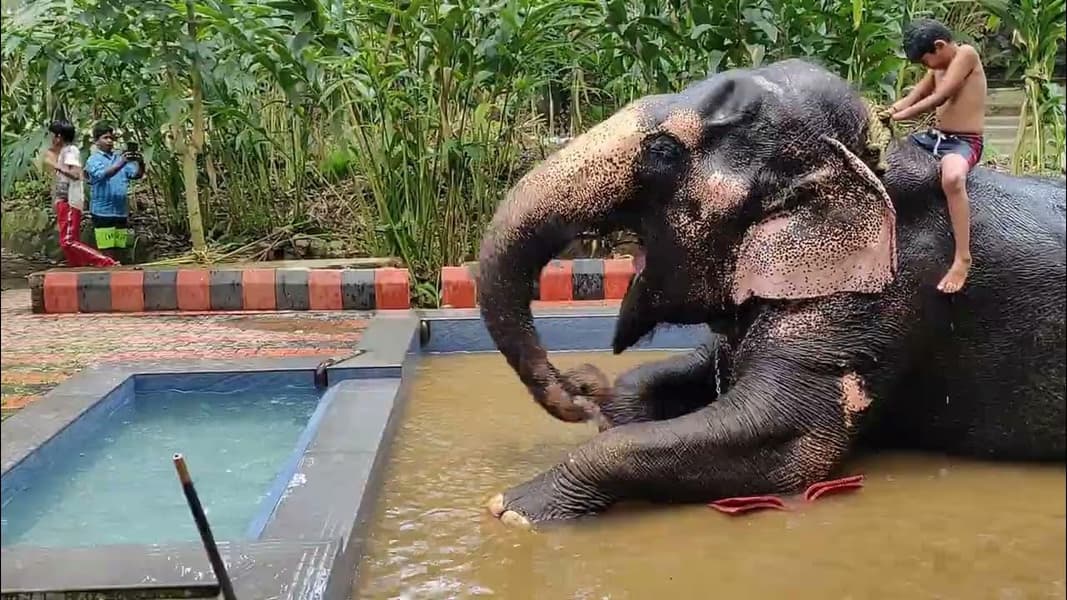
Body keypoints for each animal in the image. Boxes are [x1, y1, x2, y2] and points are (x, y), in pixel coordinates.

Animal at [475, 58, 1066, 528]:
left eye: (663, 151)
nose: (577, 389)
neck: (863, 162)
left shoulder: (882, 292)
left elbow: (785, 438)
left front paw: (514, 509)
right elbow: (701, 367)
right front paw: (611, 407)